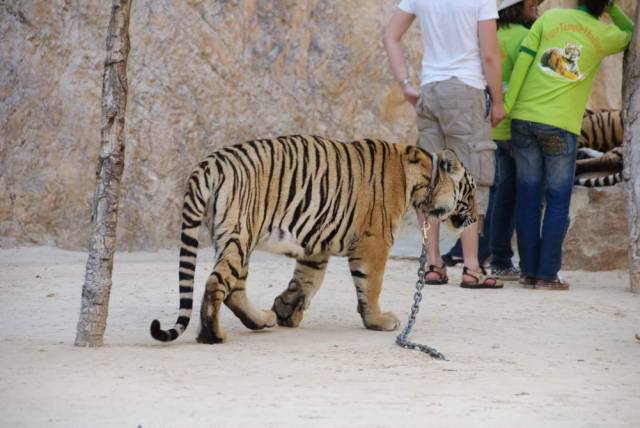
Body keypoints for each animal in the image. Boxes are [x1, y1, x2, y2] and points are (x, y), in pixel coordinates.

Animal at [150, 137, 476, 344]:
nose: (476, 217)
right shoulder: (375, 241)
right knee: (216, 284)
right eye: (471, 192)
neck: (423, 180)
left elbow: (306, 281)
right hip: (240, 235)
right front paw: (378, 321)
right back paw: (213, 336)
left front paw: (285, 310)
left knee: (234, 289)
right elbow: (371, 286)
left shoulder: (316, 245)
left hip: (235, 239)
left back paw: (262, 320)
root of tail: (208, 164)